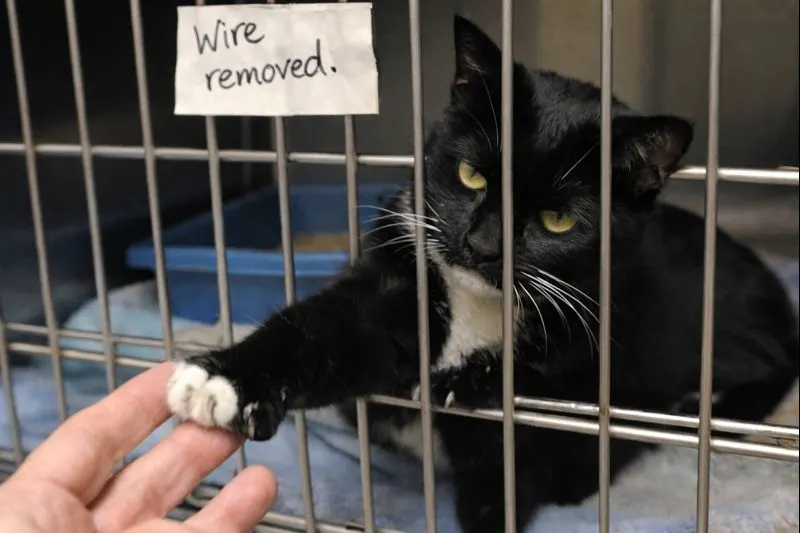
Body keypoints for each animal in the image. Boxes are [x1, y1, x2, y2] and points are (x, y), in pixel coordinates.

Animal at [165, 16, 799, 533]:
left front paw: (474, 379)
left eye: (557, 219)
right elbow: (325, 328)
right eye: (472, 174)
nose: (482, 244)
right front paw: (222, 379)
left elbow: (512, 469)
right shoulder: (399, 281)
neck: (481, 305)